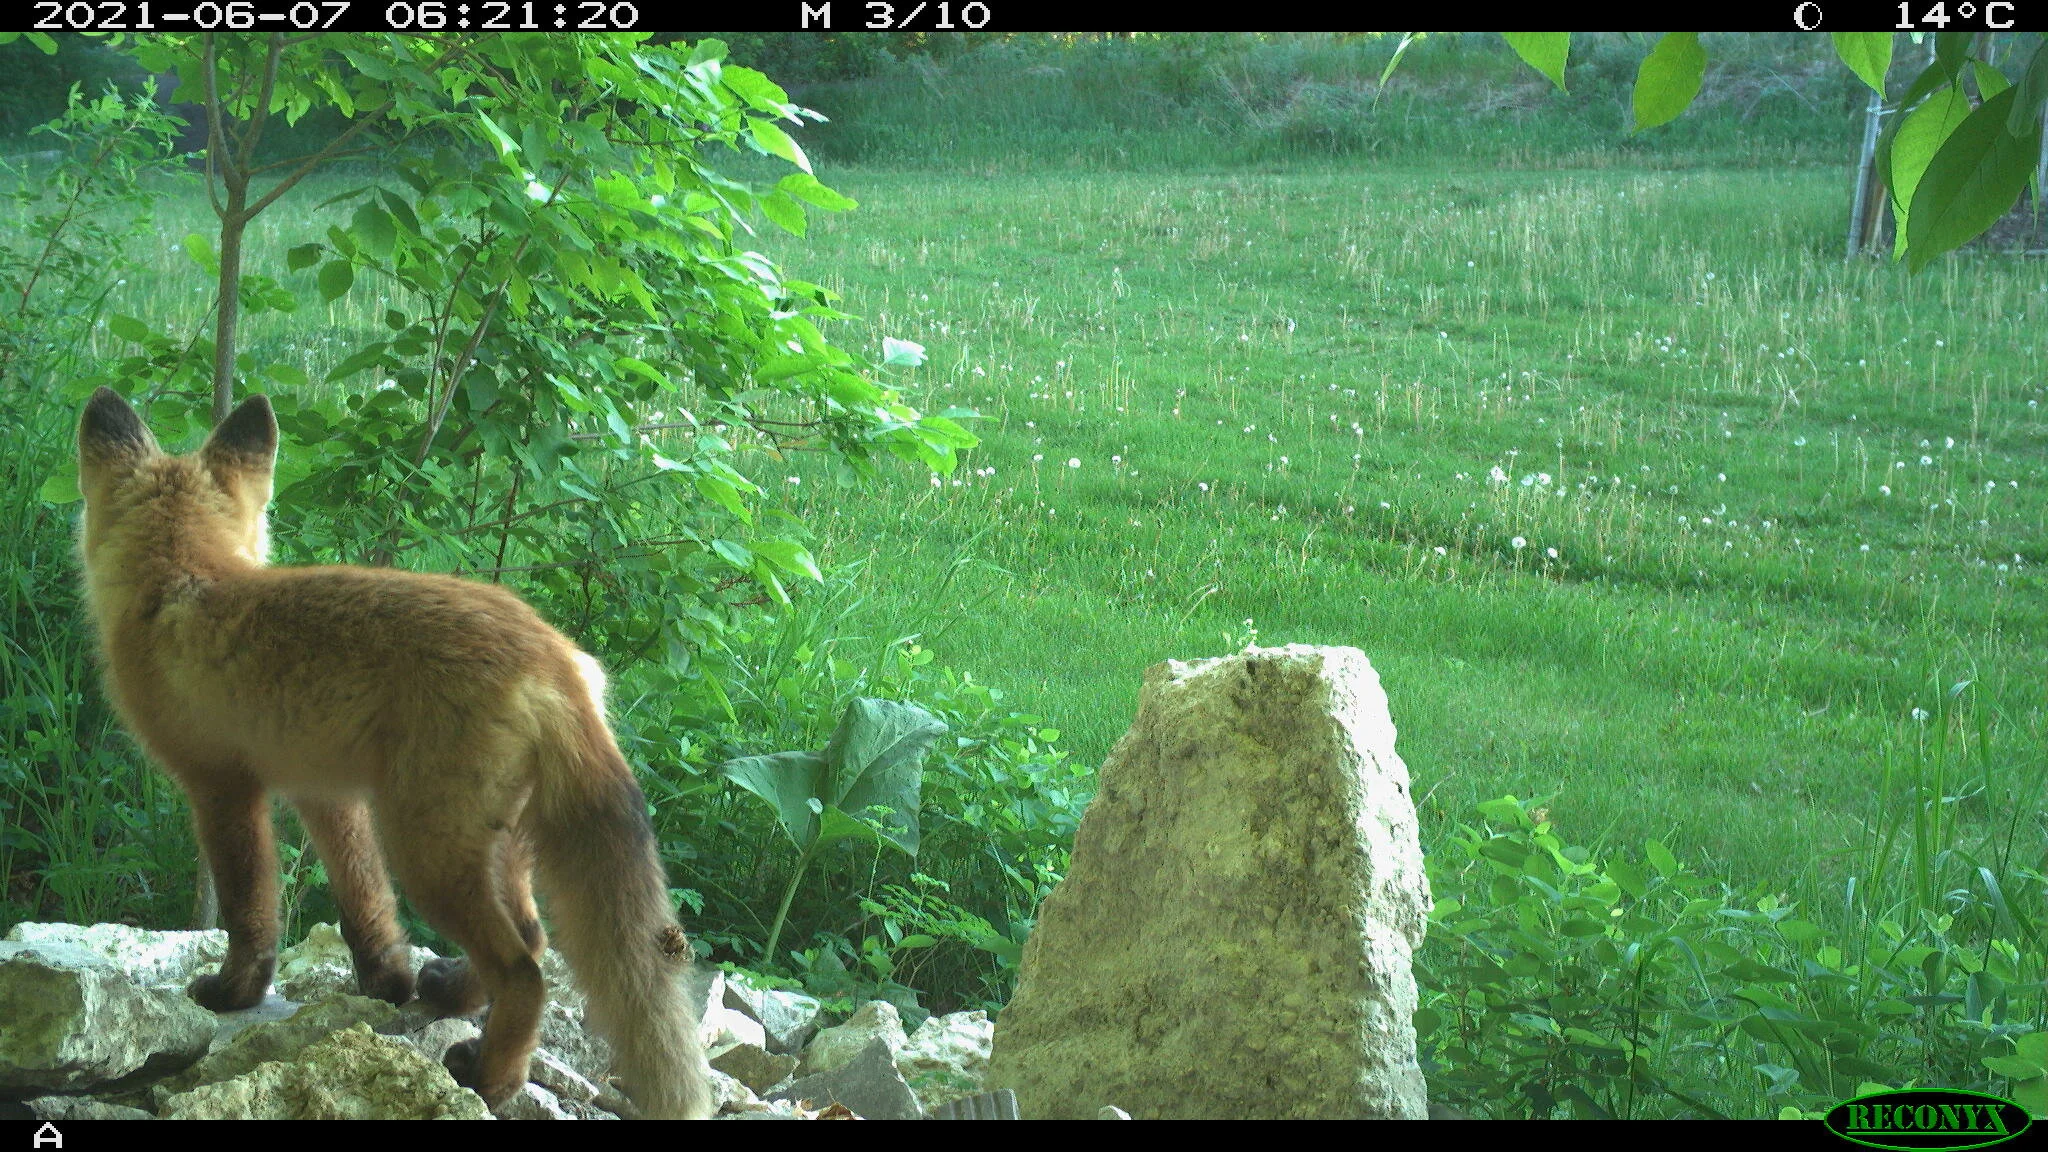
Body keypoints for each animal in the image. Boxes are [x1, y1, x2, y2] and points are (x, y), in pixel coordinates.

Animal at [74, 386, 713, 1119]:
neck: (184, 574)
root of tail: (551, 654)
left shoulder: (223, 787)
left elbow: (248, 908)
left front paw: (235, 994)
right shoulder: (327, 793)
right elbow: (366, 904)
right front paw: (386, 982)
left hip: (427, 851)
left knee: (525, 971)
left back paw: (493, 1079)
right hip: (494, 843)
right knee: (533, 938)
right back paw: (453, 995)